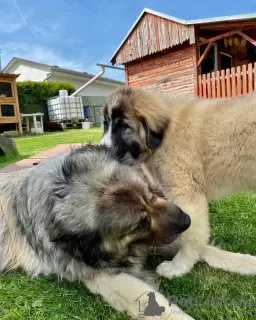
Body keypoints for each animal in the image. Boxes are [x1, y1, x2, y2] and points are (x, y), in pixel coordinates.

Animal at [100, 86, 256, 278]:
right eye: (105, 124)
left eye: (123, 125)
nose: (101, 148)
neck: (163, 137)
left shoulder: (185, 193)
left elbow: (190, 234)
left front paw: (179, 267)